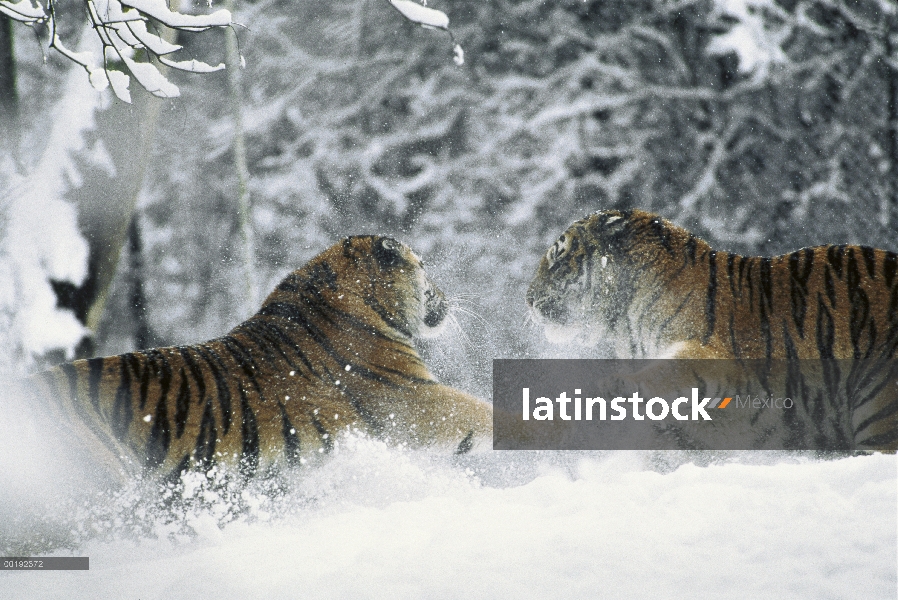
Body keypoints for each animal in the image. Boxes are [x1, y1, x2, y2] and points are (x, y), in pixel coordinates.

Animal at [520, 210, 896, 450]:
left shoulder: (710, 355)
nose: (528, 299)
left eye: (557, 256)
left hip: (879, 409)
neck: (624, 320)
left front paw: (616, 389)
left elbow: (668, 372)